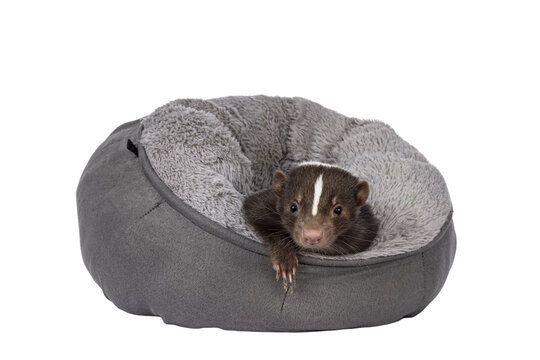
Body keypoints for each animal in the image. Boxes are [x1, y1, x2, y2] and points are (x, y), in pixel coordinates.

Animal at [243, 162, 378, 292]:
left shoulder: (362, 229)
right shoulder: (267, 203)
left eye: (338, 210)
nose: (312, 235)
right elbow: (255, 211)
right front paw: (285, 263)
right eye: (293, 207)